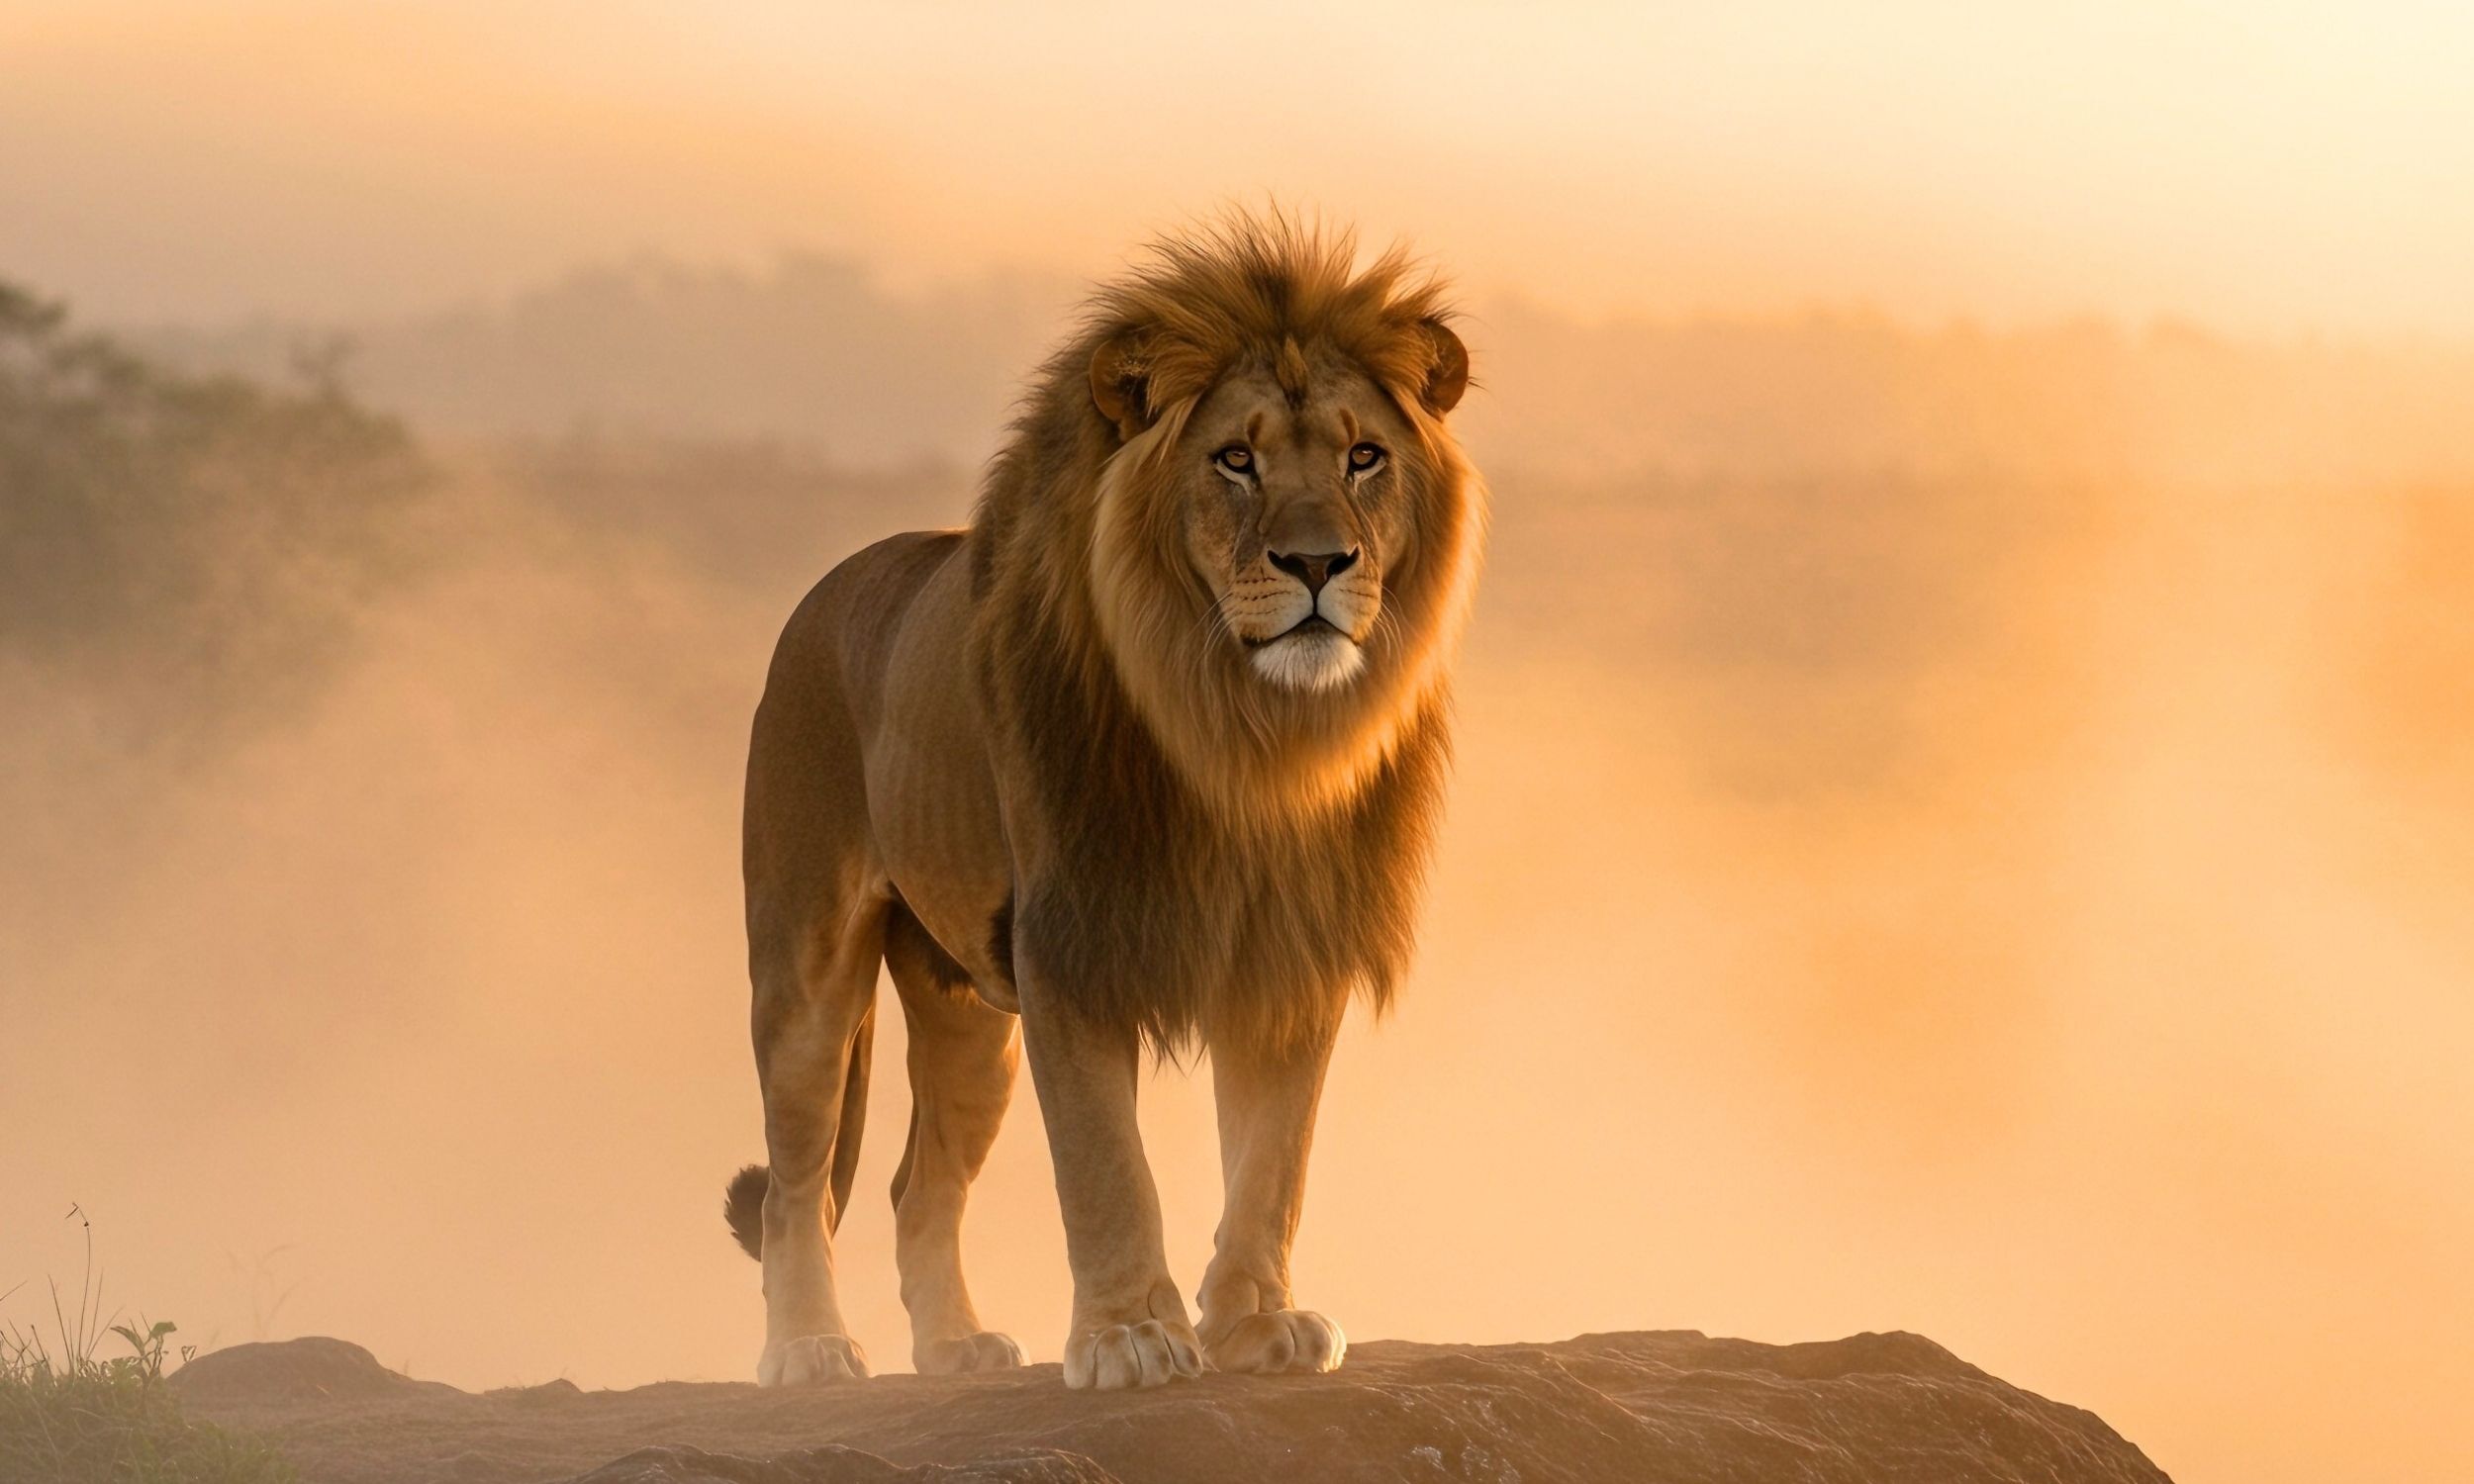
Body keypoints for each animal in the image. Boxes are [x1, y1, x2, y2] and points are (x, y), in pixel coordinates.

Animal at [720, 213, 1483, 1390]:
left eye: (1365, 456)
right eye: (1234, 459)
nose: (1317, 562)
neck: (1247, 738)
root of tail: (829, 586)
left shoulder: (1291, 951)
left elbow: (1275, 1161)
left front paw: (1258, 1322)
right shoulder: (1072, 943)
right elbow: (1105, 1166)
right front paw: (1128, 1336)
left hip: (964, 1013)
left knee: (916, 1186)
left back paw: (956, 1348)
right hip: (807, 968)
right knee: (800, 1184)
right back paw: (806, 1349)